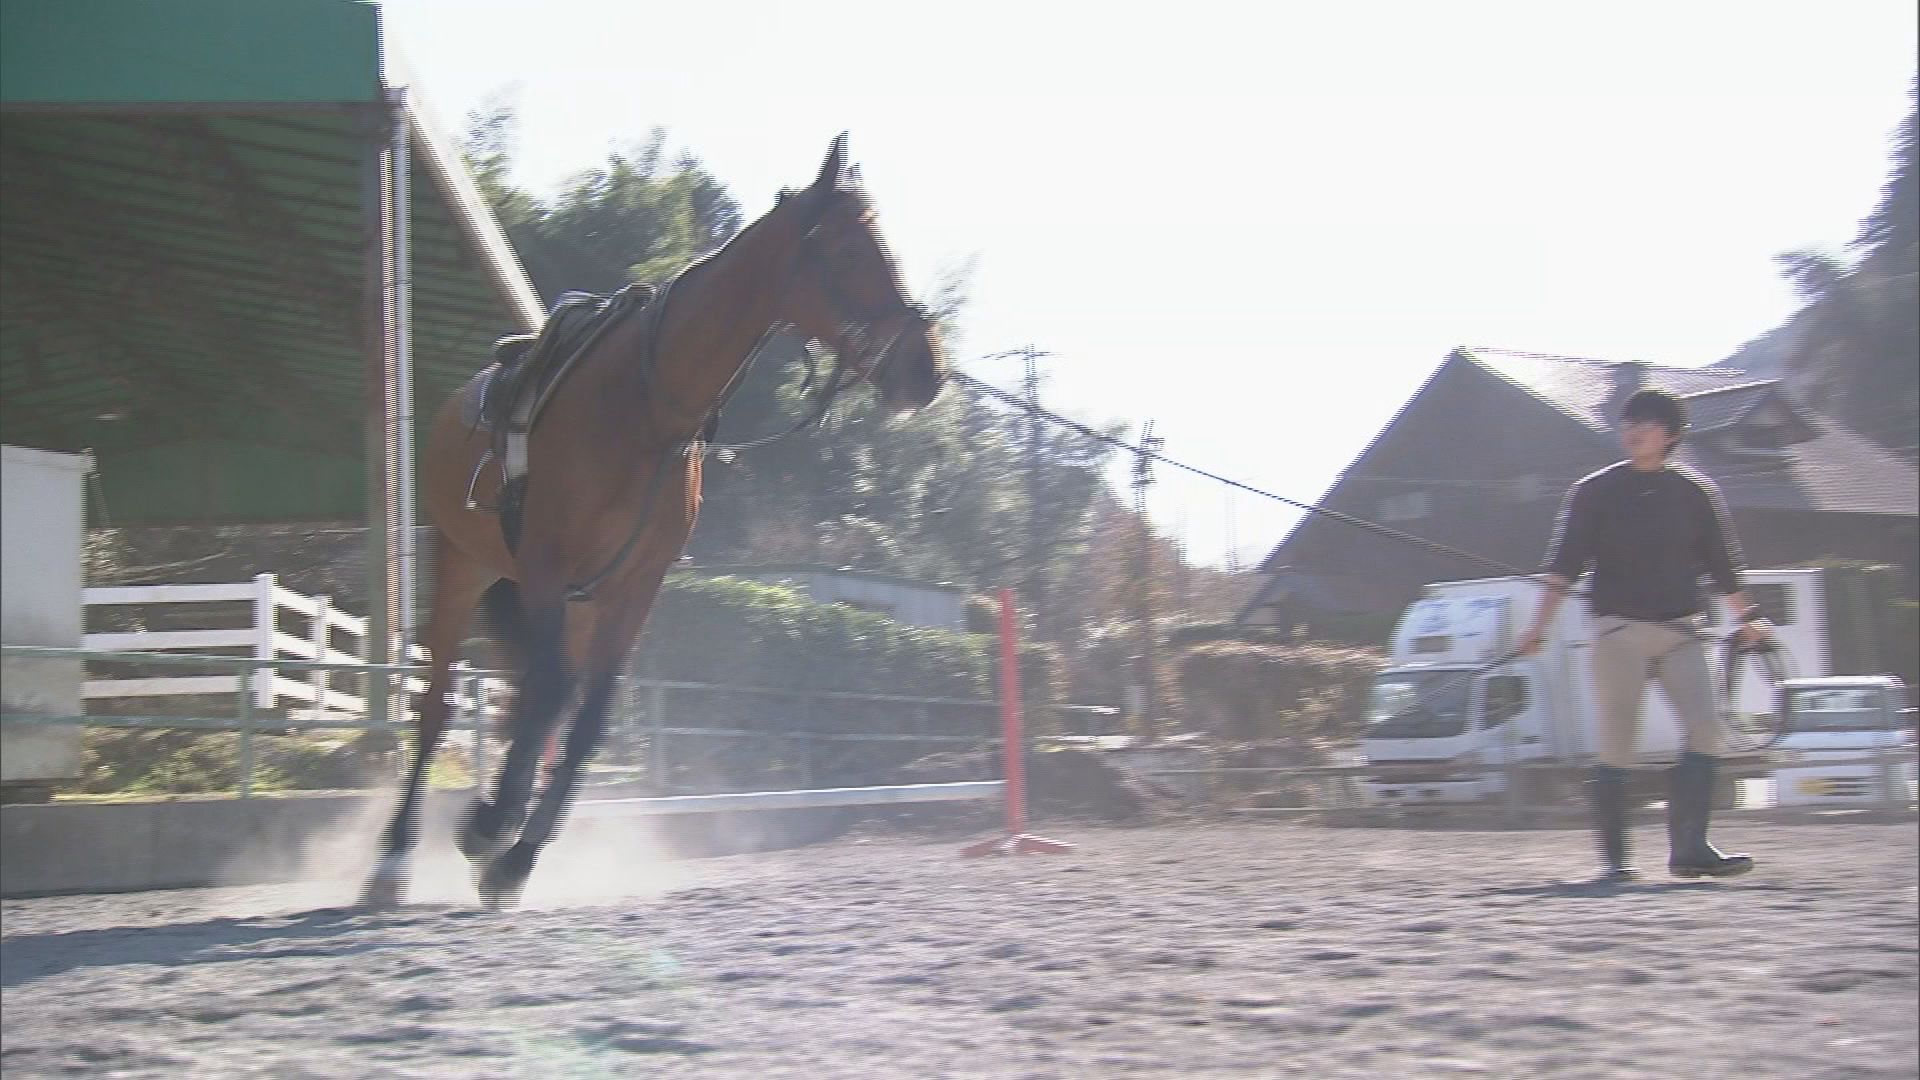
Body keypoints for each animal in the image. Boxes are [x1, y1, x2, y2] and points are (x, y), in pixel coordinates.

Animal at [359, 135, 946, 910]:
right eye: (852, 249)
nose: (927, 369)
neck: (647, 408)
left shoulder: (634, 586)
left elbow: (586, 716)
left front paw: (516, 853)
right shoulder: (546, 563)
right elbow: (549, 697)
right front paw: (493, 830)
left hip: (573, 601)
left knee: (531, 695)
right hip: (467, 567)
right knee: (438, 709)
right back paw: (396, 855)